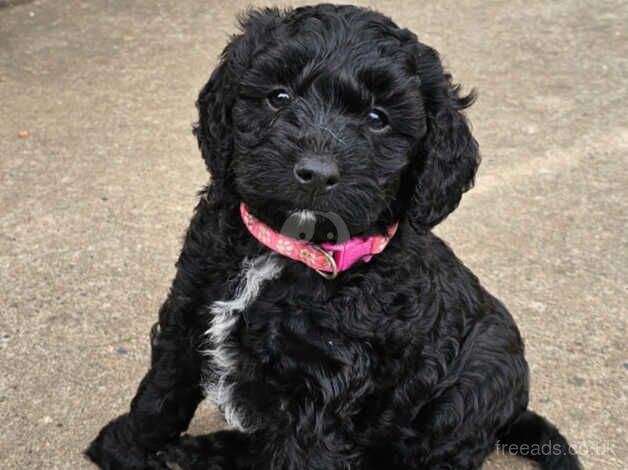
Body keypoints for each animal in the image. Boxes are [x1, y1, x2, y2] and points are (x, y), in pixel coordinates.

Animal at [86, 4, 580, 470]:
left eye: (378, 118)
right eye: (279, 97)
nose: (316, 173)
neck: (288, 252)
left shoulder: (323, 386)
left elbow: (300, 454)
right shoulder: (192, 304)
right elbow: (162, 391)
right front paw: (125, 450)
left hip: (475, 387)